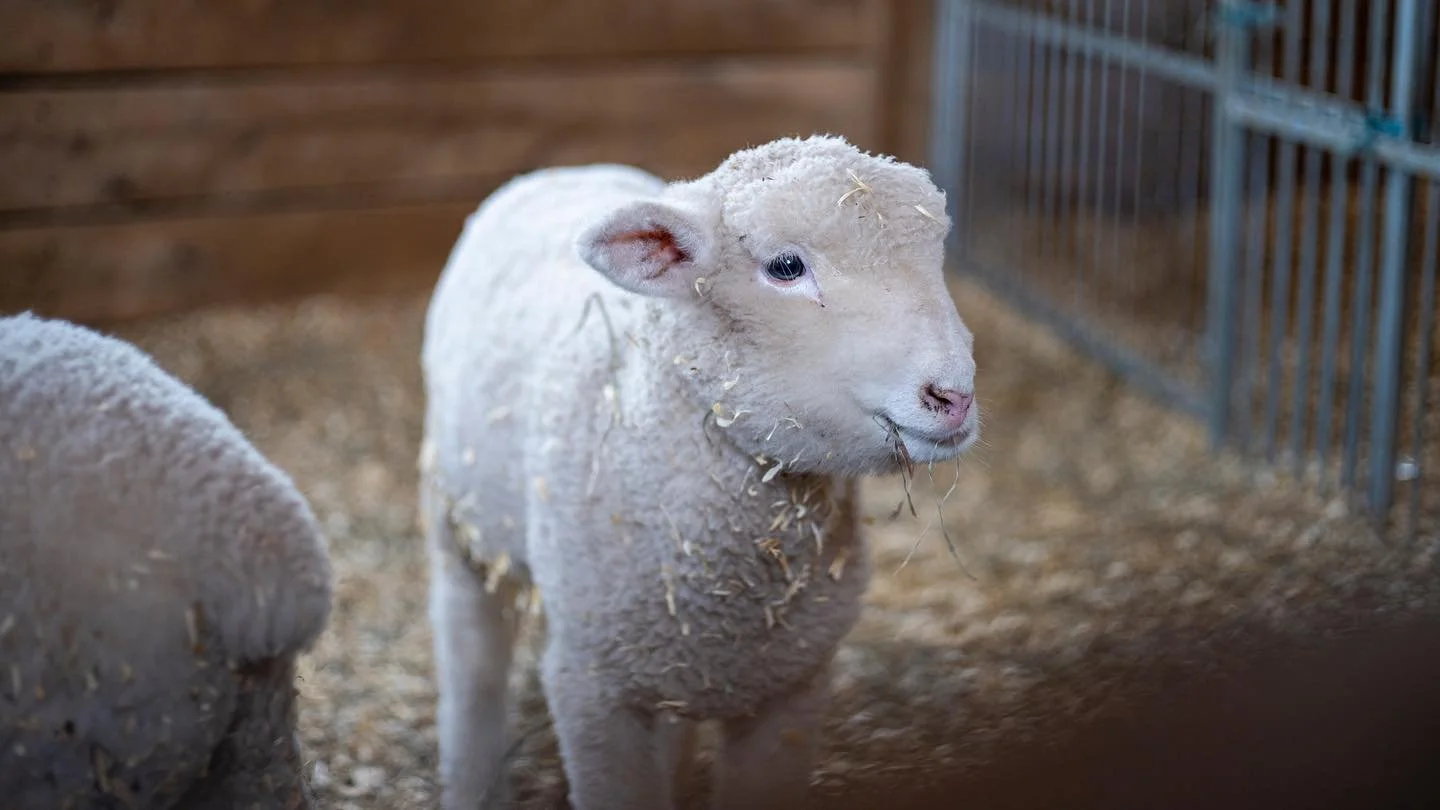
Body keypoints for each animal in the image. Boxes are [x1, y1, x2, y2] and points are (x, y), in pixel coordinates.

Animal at [419, 134, 980, 810]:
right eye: (786, 266)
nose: (954, 397)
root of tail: (563, 169)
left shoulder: (792, 685)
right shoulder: (591, 687)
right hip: (462, 521)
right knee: (471, 654)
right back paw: (472, 777)